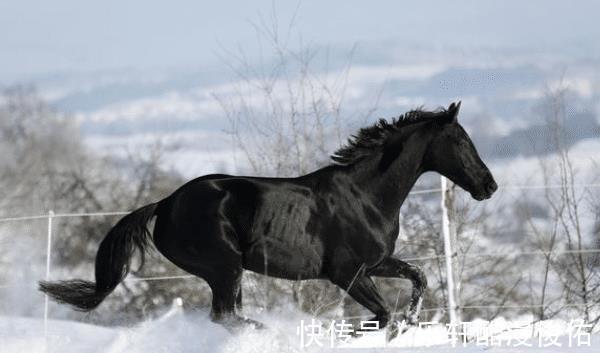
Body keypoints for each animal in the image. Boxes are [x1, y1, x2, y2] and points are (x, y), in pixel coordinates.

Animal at [38, 101, 496, 336]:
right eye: (460, 140)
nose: (489, 186)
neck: (365, 195)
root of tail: (166, 203)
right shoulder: (346, 272)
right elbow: (382, 313)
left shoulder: (375, 263)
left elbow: (417, 277)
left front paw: (413, 319)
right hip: (224, 266)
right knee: (225, 317)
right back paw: (268, 331)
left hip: (227, 271)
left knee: (226, 316)